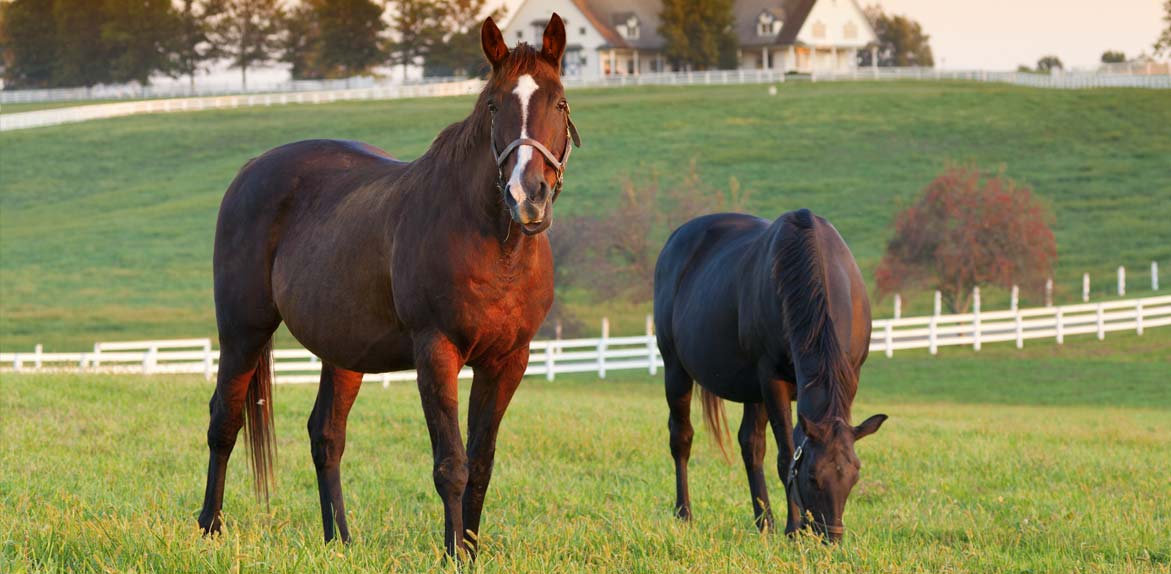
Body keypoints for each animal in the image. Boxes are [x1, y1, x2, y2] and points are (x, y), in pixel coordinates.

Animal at [196, 16, 580, 555]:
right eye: (493, 105)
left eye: (559, 103)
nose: (527, 196)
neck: (494, 246)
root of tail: (252, 168)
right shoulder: (436, 351)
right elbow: (451, 464)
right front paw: (453, 554)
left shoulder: (508, 361)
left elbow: (481, 464)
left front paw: (469, 550)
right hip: (242, 332)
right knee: (224, 421)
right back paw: (210, 526)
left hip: (342, 350)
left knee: (326, 436)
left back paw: (339, 540)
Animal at [651, 208, 885, 541]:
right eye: (812, 477)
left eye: (854, 475)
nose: (830, 537)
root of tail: (675, 239)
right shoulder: (772, 380)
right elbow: (786, 455)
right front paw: (793, 530)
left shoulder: (847, 378)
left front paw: (789, 526)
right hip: (675, 369)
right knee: (681, 438)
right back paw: (684, 514)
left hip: (752, 390)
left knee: (751, 445)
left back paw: (764, 522)